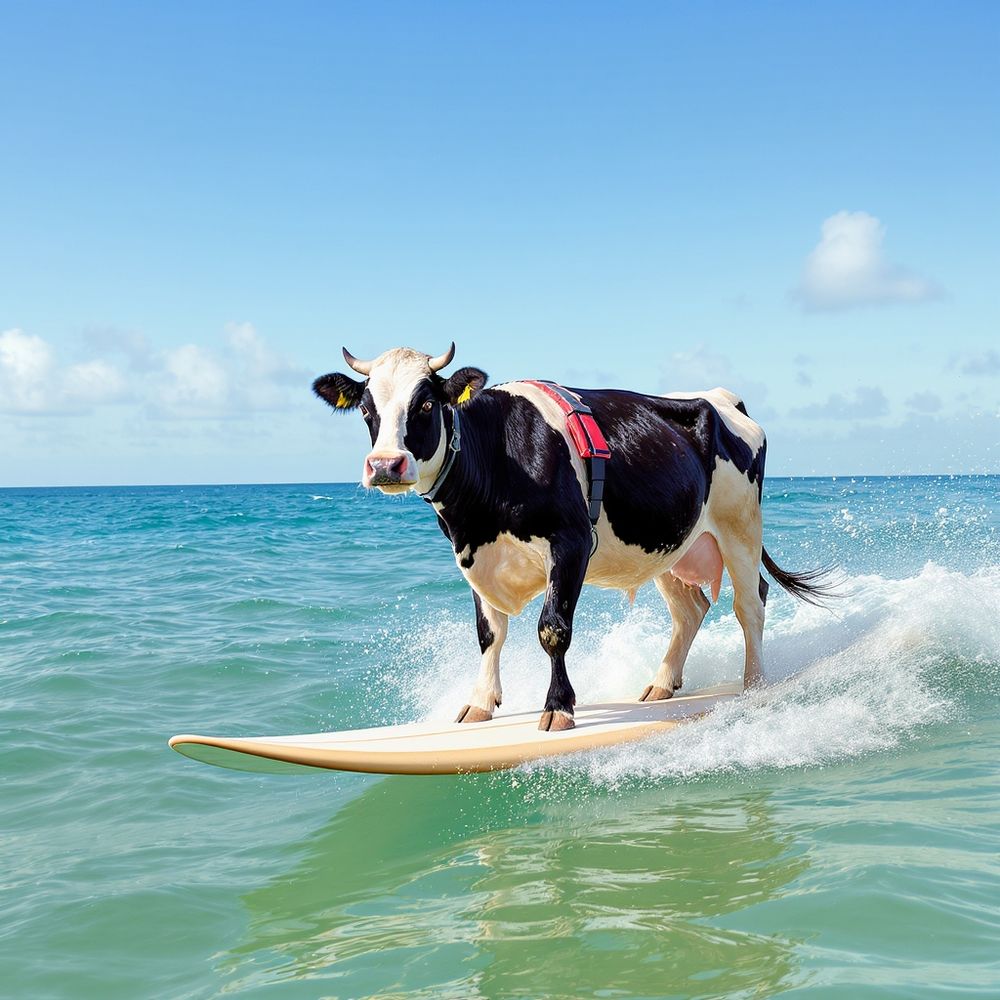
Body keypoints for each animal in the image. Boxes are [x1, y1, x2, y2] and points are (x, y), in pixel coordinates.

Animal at [313, 344, 833, 732]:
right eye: (366, 409)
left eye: (425, 403)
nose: (385, 465)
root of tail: (720, 396)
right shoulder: (473, 558)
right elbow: (488, 634)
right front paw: (479, 703)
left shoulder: (571, 543)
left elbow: (553, 629)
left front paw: (558, 708)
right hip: (669, 544)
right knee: (691, 609)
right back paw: (661, 685)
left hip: (739, 525)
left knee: (750, 603)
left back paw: (754, 684)